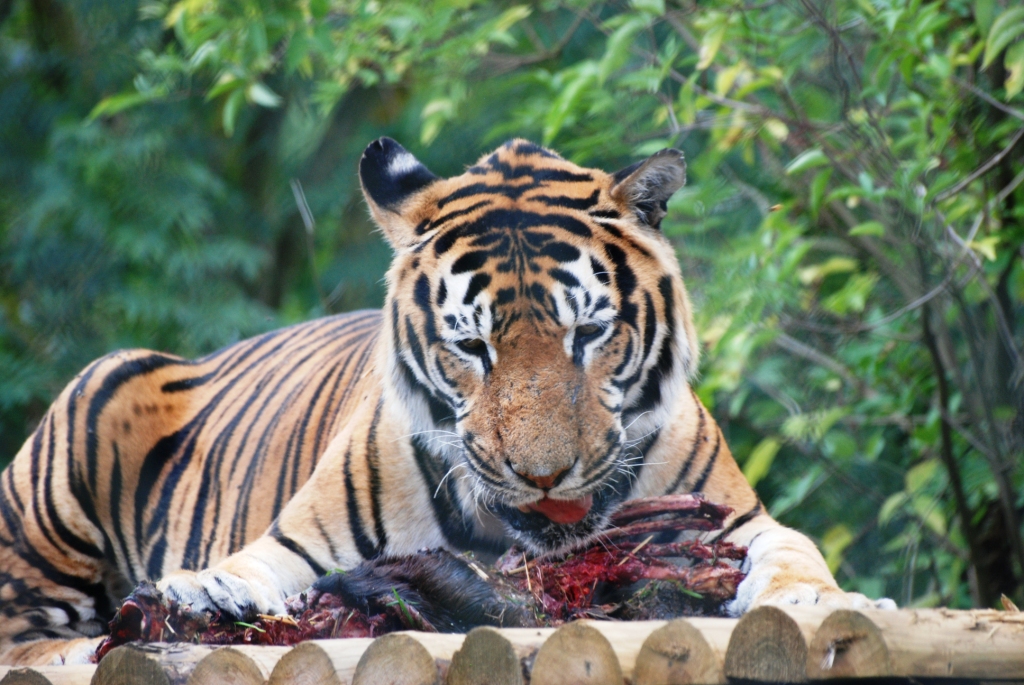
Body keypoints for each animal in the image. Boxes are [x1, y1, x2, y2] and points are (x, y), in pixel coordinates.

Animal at [0, 137, 894, 665]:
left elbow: (792, 551)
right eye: (473, 347)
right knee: (25, 632)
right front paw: (206, 591)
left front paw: (818, 597)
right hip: (81, 423)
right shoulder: (299, 541)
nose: (544, 477)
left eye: (589, 333)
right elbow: (250, 565)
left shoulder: (737, 516)